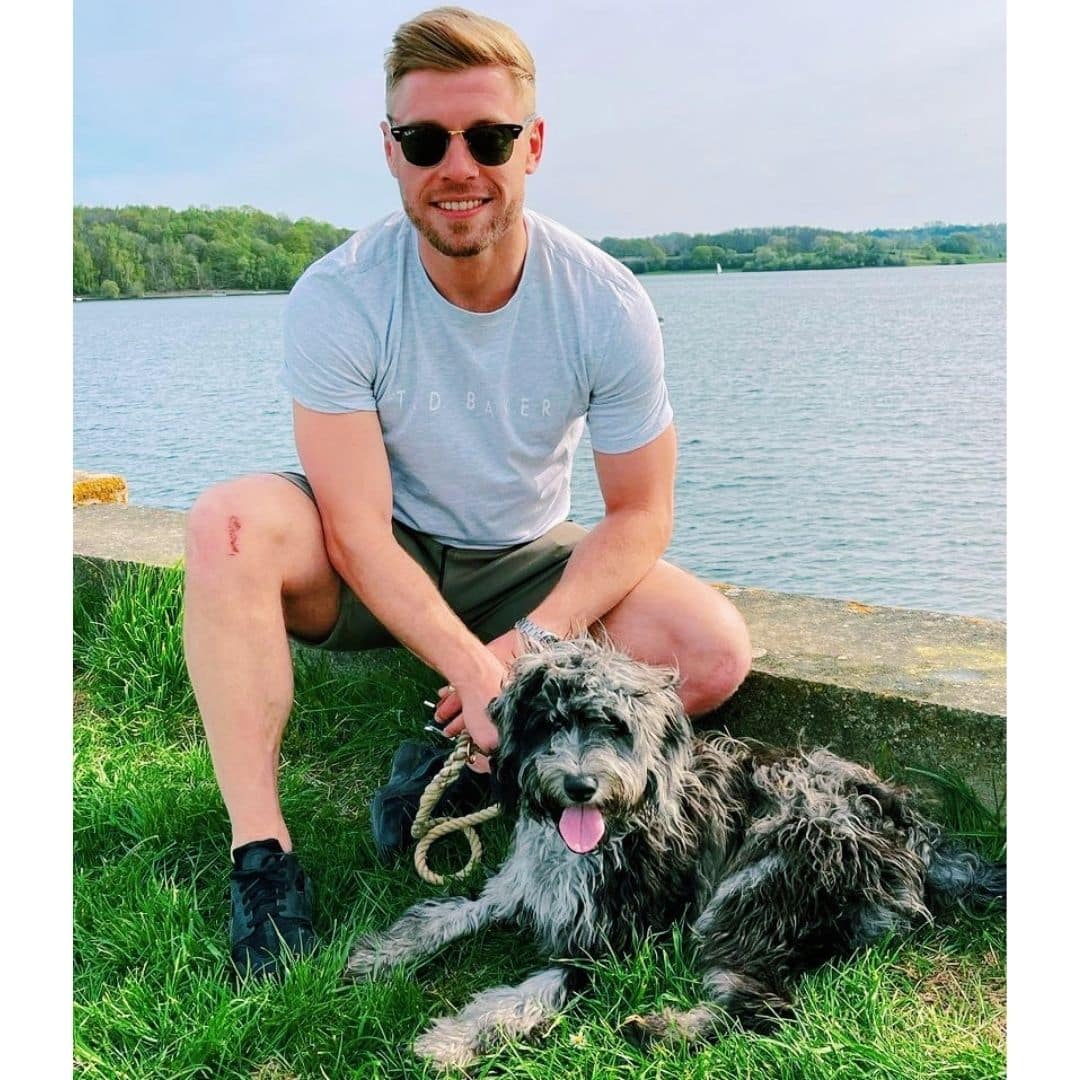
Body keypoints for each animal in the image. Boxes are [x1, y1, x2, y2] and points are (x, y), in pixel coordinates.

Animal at [347, 635, 1002, 1067]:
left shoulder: (619, 940)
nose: (580, 785)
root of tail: (917, 837)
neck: (608, 830)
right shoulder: (520, 886)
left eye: (613, 727)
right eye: (549, 724)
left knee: (768, 1008)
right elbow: (445, 914)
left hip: (752, 892)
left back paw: (662, 1030)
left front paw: (454, 1040)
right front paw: (379, 955)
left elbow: (525, 993)